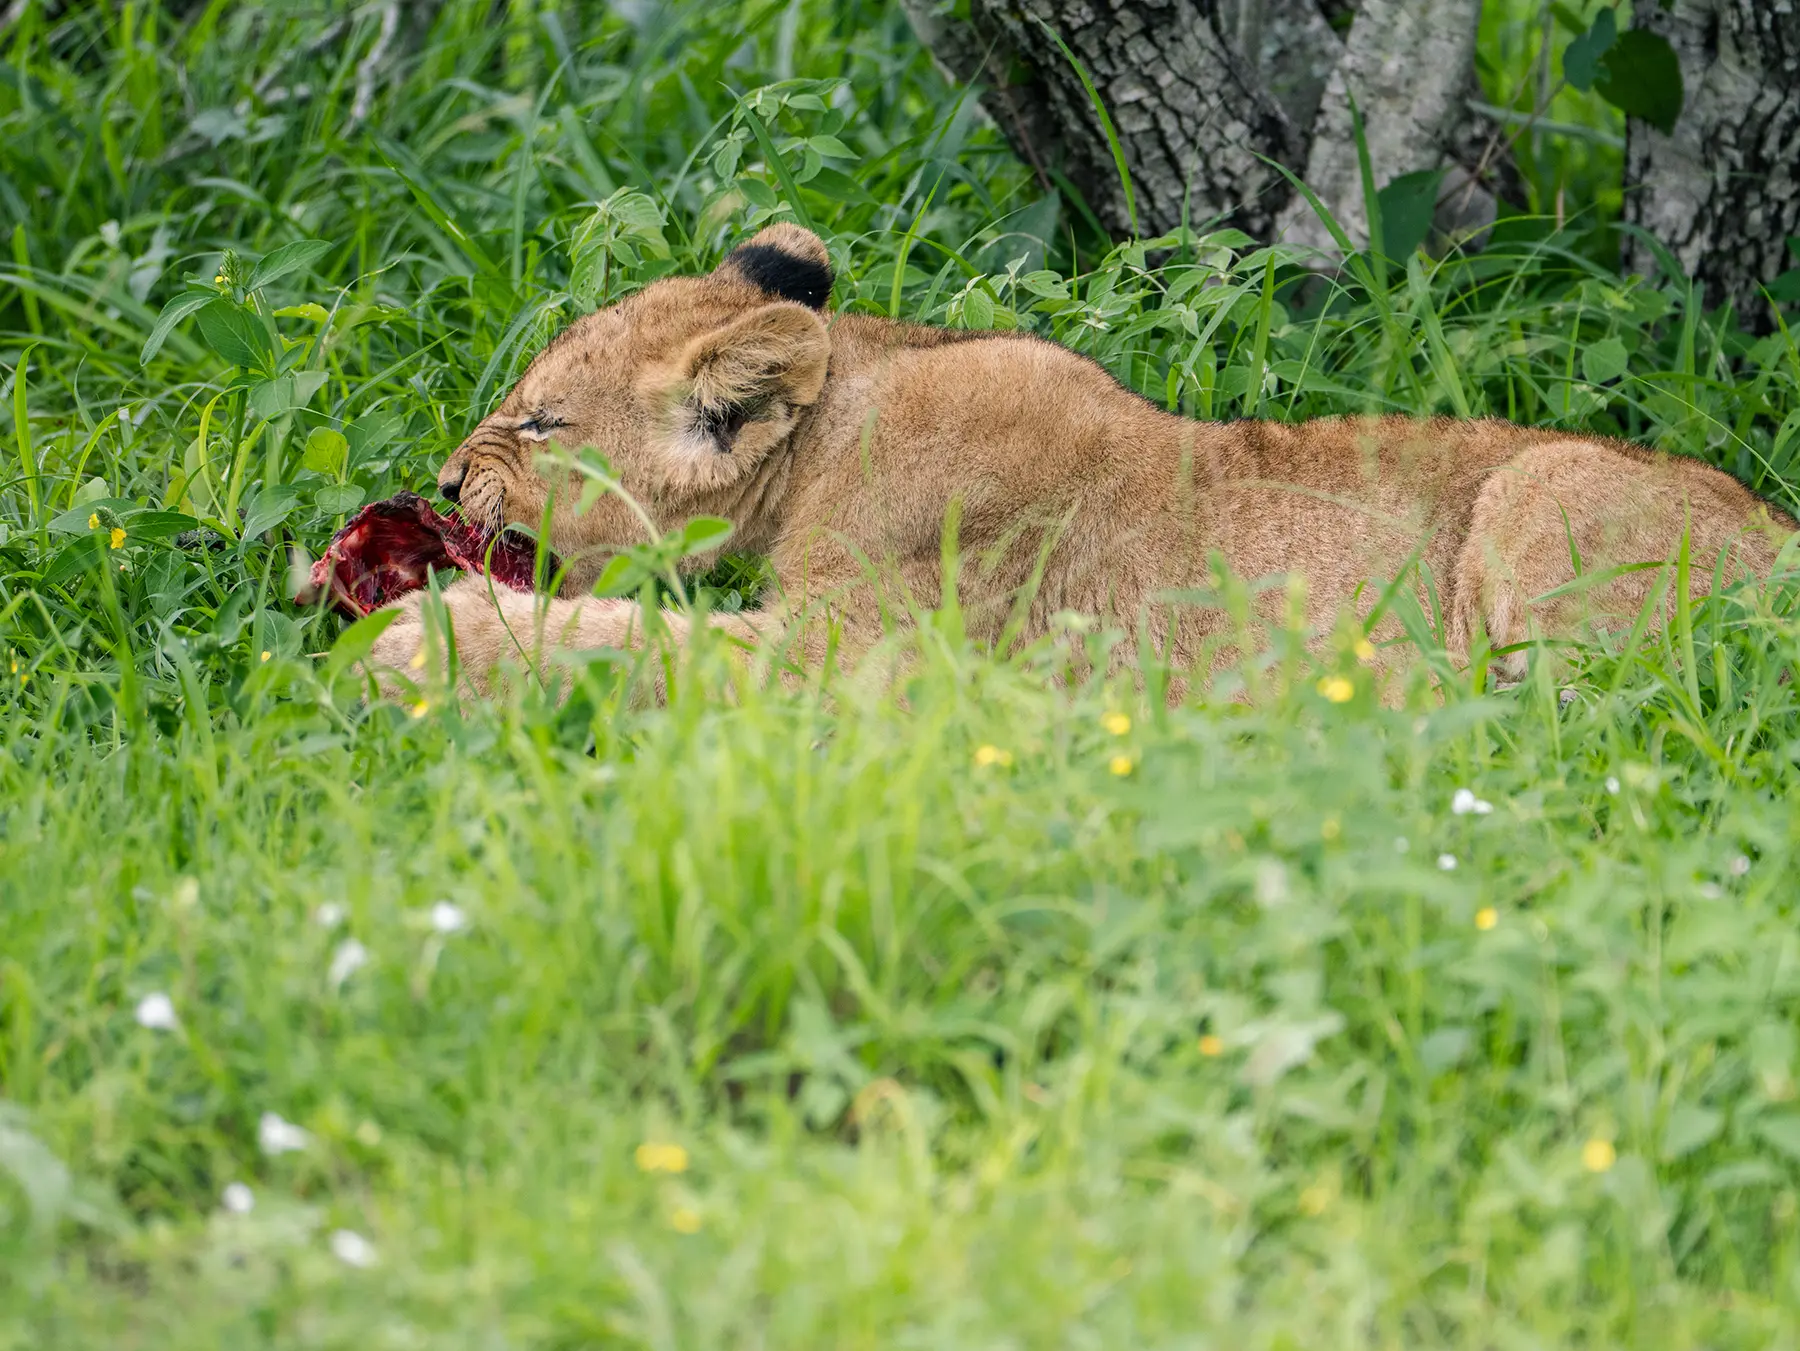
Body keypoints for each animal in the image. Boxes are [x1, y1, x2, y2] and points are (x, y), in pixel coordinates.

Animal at [368, 222, 1797, 697]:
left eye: (540, 422)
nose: (438, 487)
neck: (835, 424)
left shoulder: (868, 657)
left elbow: (626, 636)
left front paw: (413, 640)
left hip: (1540, 495)